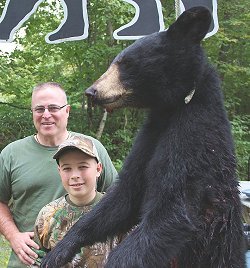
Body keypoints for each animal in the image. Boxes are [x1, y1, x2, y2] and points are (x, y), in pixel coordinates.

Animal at [40, 6, 244, 268]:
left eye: (126, 63)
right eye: (115, 61)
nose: (91, 91)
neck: (172, 108)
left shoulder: (195, 138)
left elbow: (172, 212)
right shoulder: (149, 136)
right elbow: (124, 196)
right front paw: (59, 250)